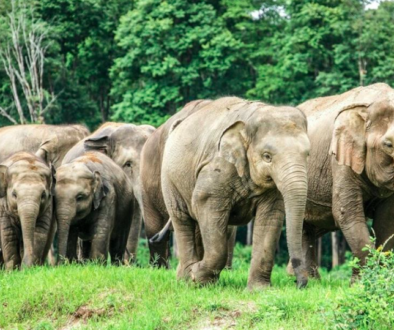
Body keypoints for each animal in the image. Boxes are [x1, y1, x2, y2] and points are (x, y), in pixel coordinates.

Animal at [160, 96, 310, 288]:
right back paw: (187, 279)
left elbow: (270, 216)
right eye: (267, 156)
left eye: (307, 154)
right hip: (169, 179)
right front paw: (196, 276)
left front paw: (258, 290)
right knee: (182, 219)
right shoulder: (217, 168)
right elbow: (204, 201)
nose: (299, 284)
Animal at [288, 82, 394, 278]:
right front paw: (362, 281)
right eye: (389, 145)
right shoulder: (339, 158)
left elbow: (387, 219)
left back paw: (313, 280)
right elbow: (346, 212)